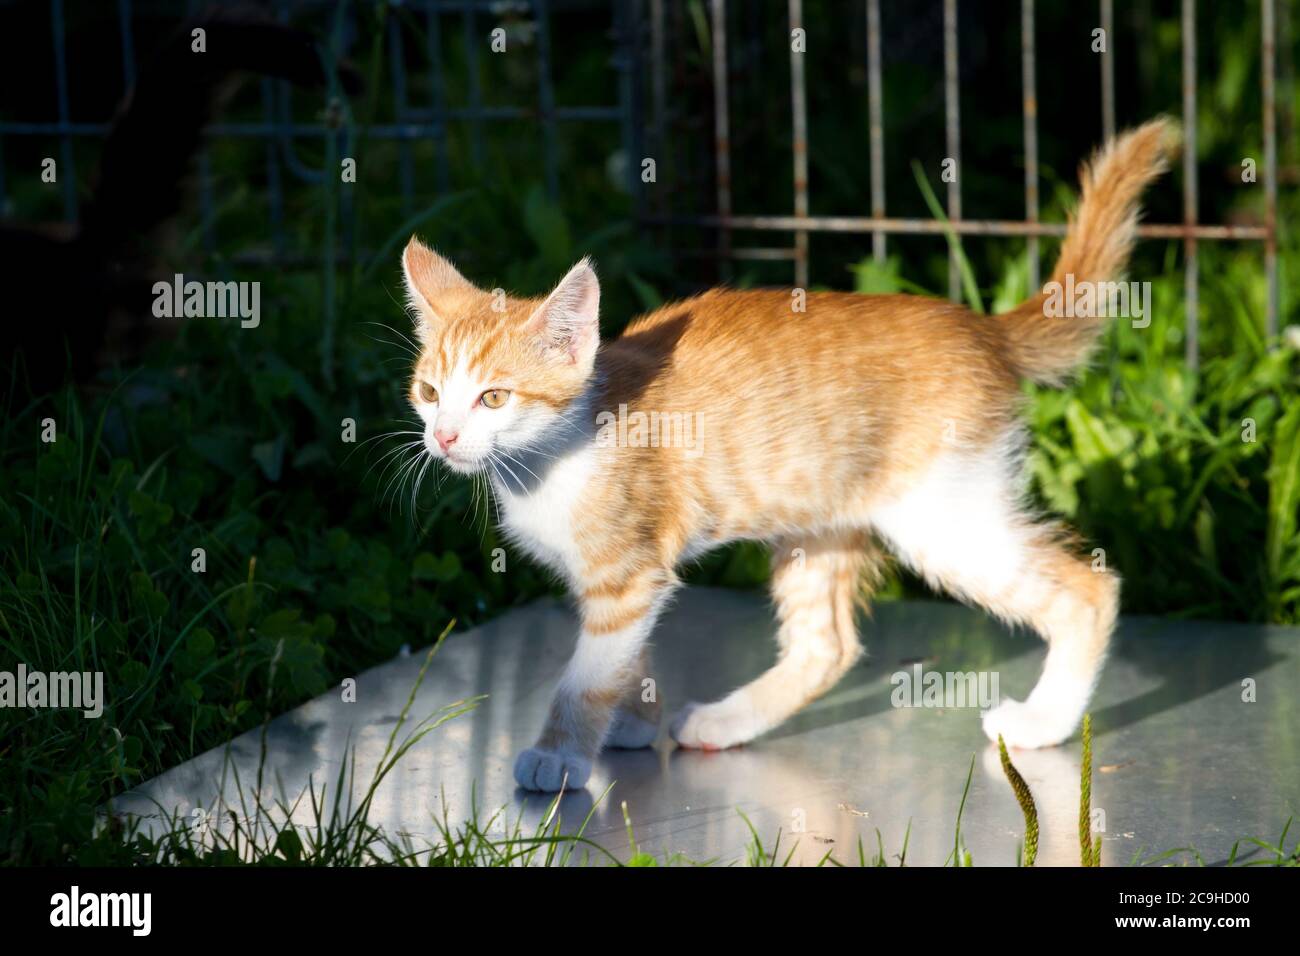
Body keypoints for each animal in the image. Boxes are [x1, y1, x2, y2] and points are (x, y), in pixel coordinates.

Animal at [397, 119, 1180, 790]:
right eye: (430, 391)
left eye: (494, 398)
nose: (444, 437)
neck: (554, 457)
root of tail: (983, 328)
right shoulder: (629, 580)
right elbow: (621, 658)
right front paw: (633, 719)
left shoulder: (626, 573)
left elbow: (585, 676)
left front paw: (559, 754)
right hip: (820, 523)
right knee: (825, 648)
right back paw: (724, 722)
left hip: (943, 519)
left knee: (1088, 589)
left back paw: (1044, 722)